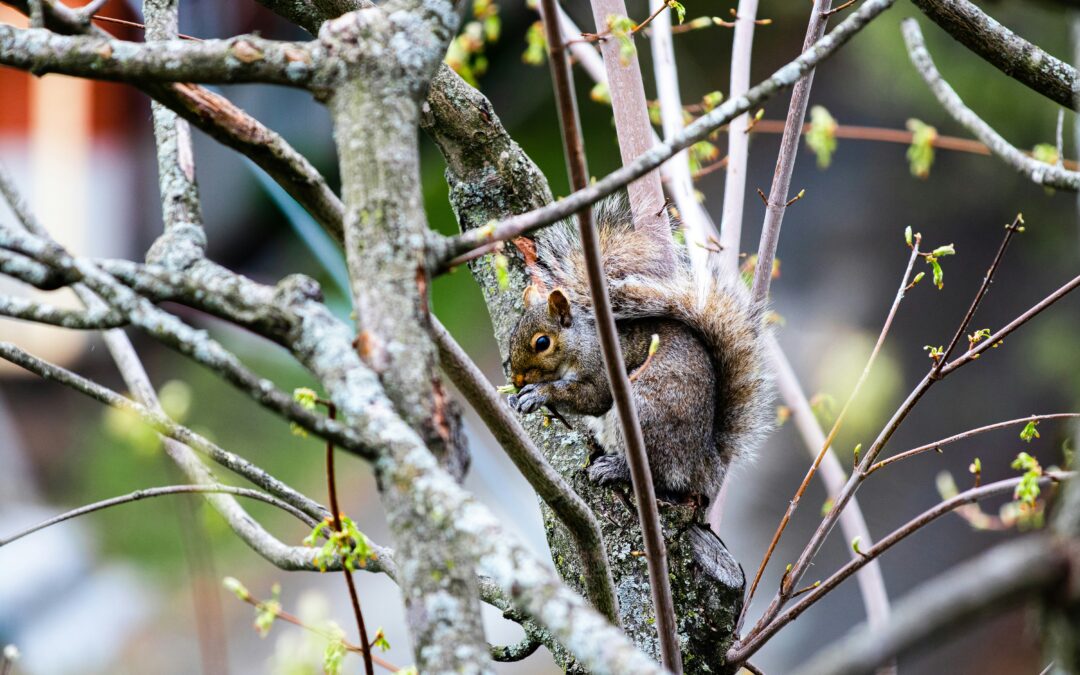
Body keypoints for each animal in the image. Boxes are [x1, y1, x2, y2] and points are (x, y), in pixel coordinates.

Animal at [506, 195, 772, 503]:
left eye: (542, 343)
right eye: (512, 335)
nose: (517, 380)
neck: (581, 342)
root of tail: (700, 464)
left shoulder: (601, 366)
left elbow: (593, 398)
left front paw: (538, 393)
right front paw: (513, 398)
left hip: (645, 413)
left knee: (659, 474)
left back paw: (615, 468)